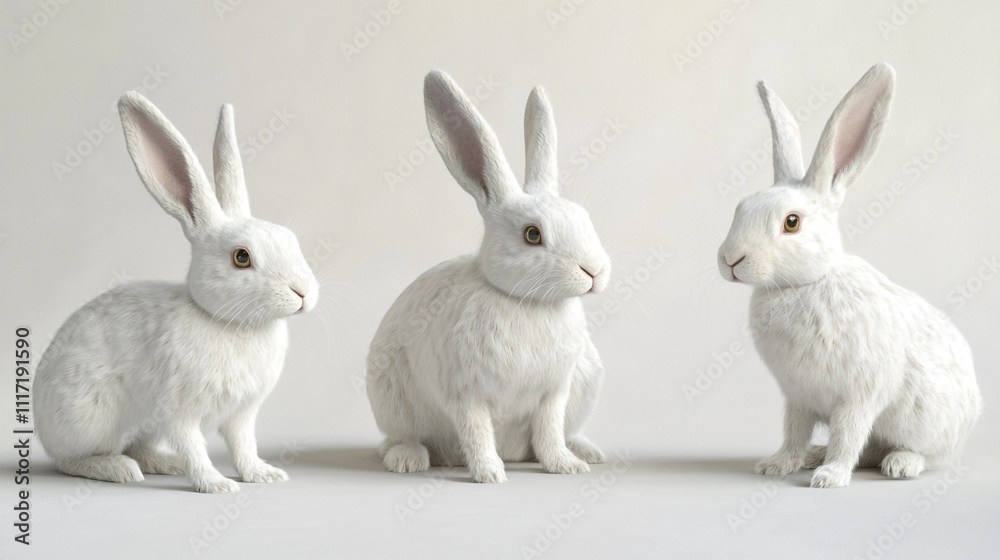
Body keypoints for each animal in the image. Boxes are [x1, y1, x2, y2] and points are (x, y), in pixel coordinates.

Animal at [34, 92, 318, 493]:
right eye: (242, 258)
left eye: (291, 240)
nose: (303, 293)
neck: (225, 322)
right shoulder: (179, 412)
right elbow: (195, 448)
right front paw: (216, 485)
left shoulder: (241, 415)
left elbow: (243, 446)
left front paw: (263, 475)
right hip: (89, 420)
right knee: (70, 460)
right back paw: (119, 469)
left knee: (137, 447)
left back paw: (163, 463)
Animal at [365, 70, 610, 483]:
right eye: (532, 234)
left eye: (584, 218)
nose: (594, 271)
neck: (526, 302)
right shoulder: (465, 394)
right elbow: (477, 432)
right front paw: (489, 474)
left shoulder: (553, 393)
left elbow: (549, 431)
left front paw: (564, 467)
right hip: (391, 402)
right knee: (399, 439)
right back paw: (409, 459)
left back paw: (587, 453)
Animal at [717, 62, 982, 488]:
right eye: (741, 207)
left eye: (792, 223)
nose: (730, 260)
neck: (805, 283)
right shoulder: (798, 397)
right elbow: (793, 432)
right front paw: (777, 464)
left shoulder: (858, 396)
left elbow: (848, 434)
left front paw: (830, 478)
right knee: (870, 449)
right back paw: (815, 455)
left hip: (927, 425)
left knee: (924, 455)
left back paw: (899, 464)